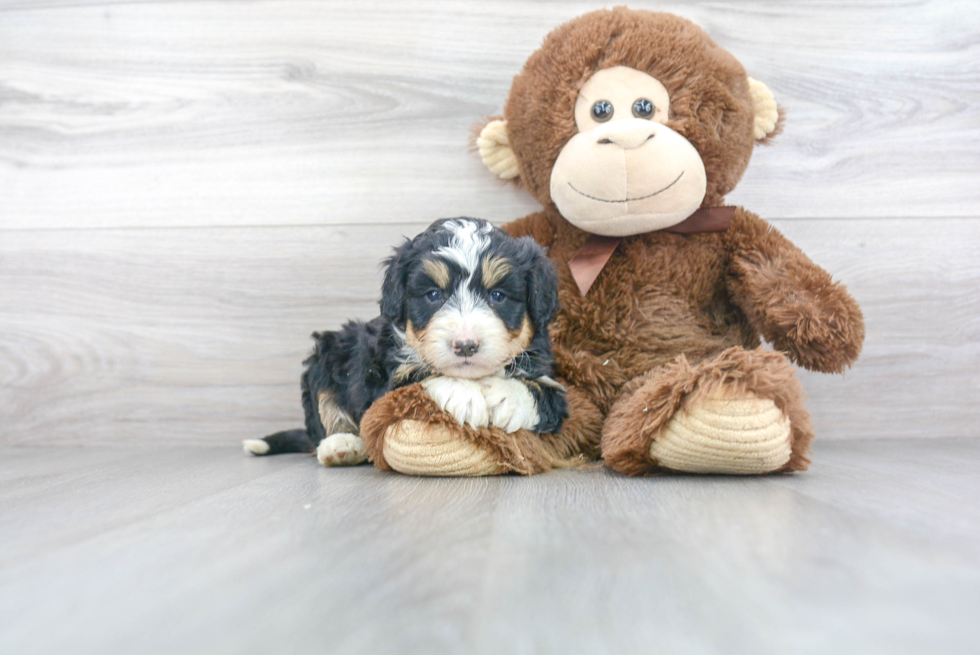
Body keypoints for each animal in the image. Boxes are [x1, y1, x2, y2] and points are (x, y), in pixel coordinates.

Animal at [243, 219, 568, 466]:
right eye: (433, 295)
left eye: (497, 296)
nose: (465, 345)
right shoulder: (383, 382)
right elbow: (419, 376)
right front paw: (464, 394)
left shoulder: (545, 371)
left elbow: (549, 394)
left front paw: (506, 397)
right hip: (327, 355)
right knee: (322, 415)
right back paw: (342, 445)